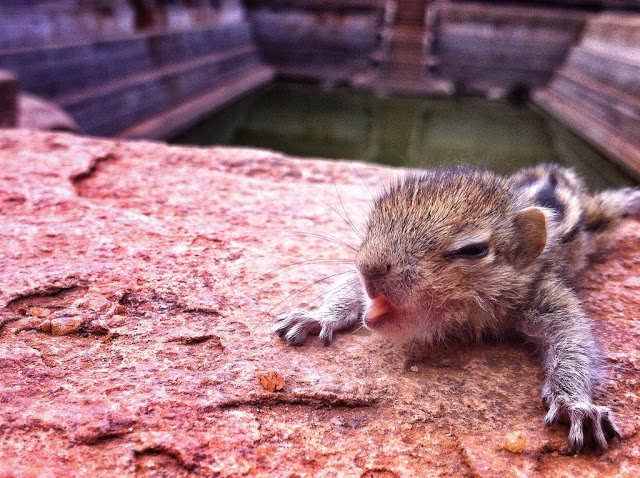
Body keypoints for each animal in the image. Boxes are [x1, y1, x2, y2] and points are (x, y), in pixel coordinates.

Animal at [276, 163, 640, 448]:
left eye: (473, 250)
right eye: (373, 222)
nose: (370, 267)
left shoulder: (548, 293)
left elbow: (574, 342)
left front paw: (576, 404)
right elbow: (348, 286)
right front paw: (317, 317)